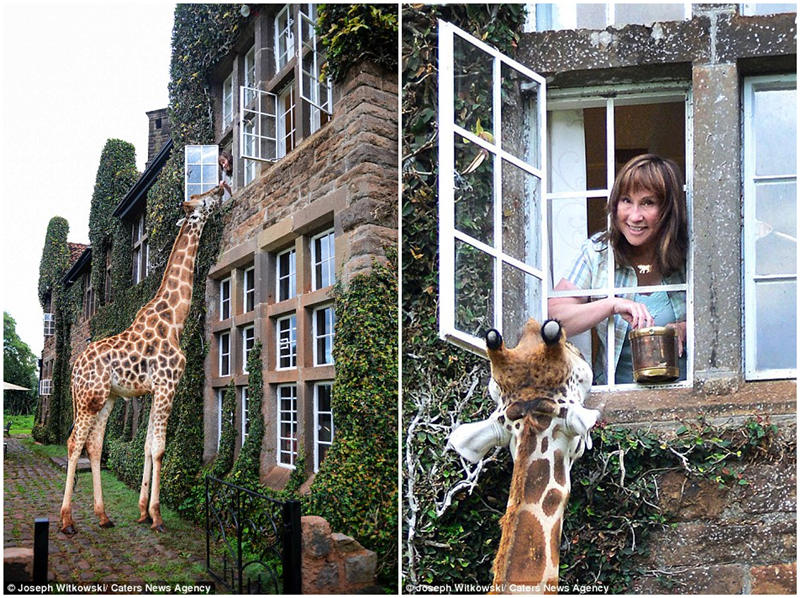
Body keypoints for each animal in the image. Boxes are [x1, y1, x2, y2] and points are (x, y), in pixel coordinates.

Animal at [59, 185, 225, 536]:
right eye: (201, 199)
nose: (221, 189)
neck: (174, 319)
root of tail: (75, 368)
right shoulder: (167, 385)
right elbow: (159, 448)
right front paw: (157, 516)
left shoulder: (151, 391)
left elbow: (148, 445)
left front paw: (142, 511)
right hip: (88, 398)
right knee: (74, 443)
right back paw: (67, 521)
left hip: (107, 399)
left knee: (95, 445)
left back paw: (103, 516)